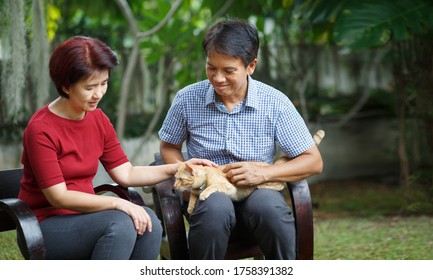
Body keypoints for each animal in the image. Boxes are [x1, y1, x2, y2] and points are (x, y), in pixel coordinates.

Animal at [175, 130, 324, 213]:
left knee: (280, 184)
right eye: (175, 178)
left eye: (181, 179)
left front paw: (203, 194)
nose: (174, 186)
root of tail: (271, 165)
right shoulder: (194, 192)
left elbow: (210, 188)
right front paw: (190, 207)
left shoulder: (226, 186)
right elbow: (192, 197)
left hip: (267, 182)